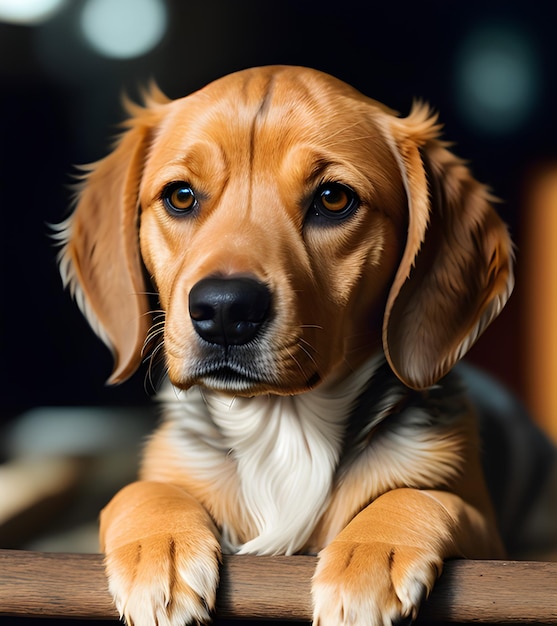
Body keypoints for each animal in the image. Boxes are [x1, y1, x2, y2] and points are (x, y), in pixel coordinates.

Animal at [56, 64, 512, 624]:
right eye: (180, 196)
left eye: (333, 198)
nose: (224, 309)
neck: (280, 427)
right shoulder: (169, 463)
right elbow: (142, 490)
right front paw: (157, 549)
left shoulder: (487, 530)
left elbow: (422, 496)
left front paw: (369, 556)